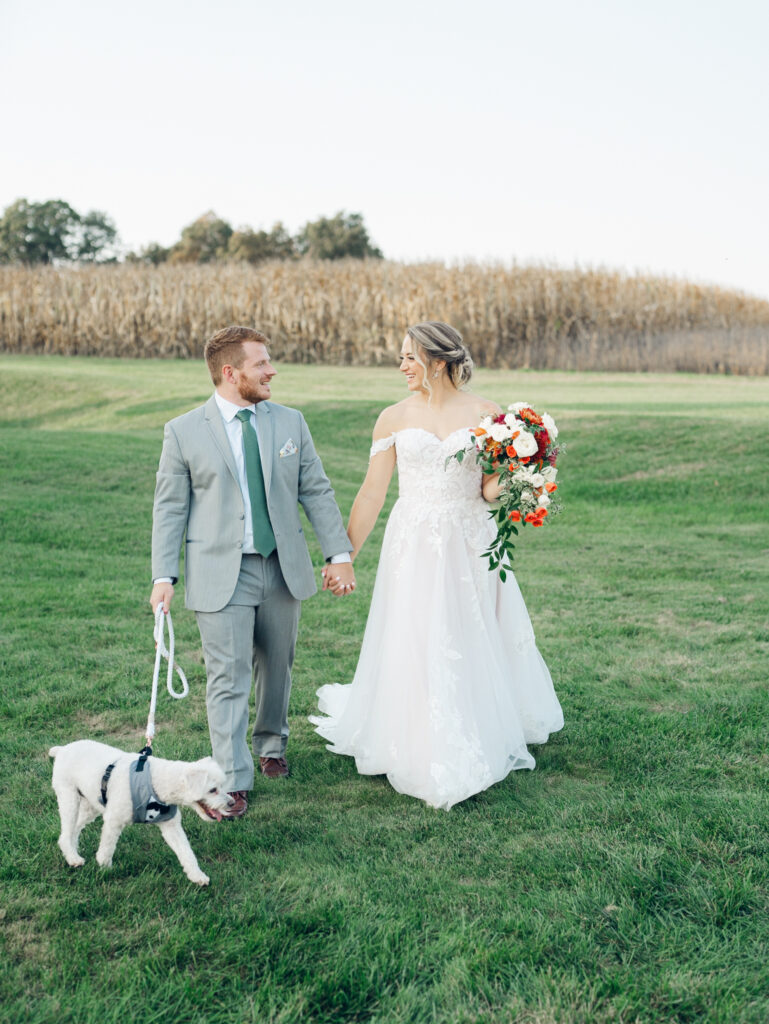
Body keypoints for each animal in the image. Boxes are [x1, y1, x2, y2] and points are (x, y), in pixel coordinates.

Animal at [49, 741, 234, 884]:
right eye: (212, 790)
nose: (232, 803)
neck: (159, 780)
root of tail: (62, 749)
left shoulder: (171, 826)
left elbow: (186, 852)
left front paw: (198, 876)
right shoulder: (113, 820)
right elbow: (107, 848)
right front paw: (105, 868)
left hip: (90, 806)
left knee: (72, 831)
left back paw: (72, 853)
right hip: (69, 798)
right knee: (66, 832)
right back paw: (73, 858)